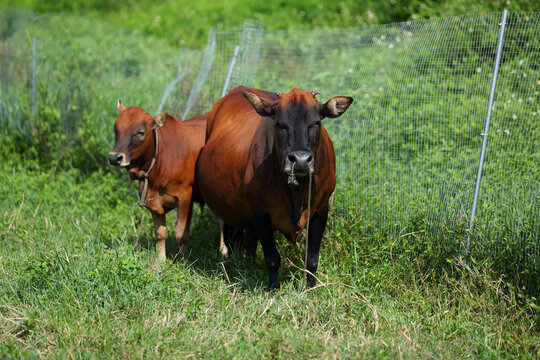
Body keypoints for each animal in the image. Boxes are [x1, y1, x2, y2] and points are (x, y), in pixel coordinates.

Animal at [108, 101, 206, 258]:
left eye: (141, 132)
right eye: (115, 129)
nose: (114, 157)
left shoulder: (186, 197)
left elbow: (181, 234)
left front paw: (182, 260)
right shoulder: (152, 199)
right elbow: (160, 233)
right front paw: (160, 260)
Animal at [196, 86, 352, 286]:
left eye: (316, 122)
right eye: (279, 124)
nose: (300, 160)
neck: (297, 192)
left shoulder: (321, 209)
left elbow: (312, 258)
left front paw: (310, 287)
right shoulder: (260, 211)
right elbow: (272, 258)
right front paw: (273, 287)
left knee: (249, 241)